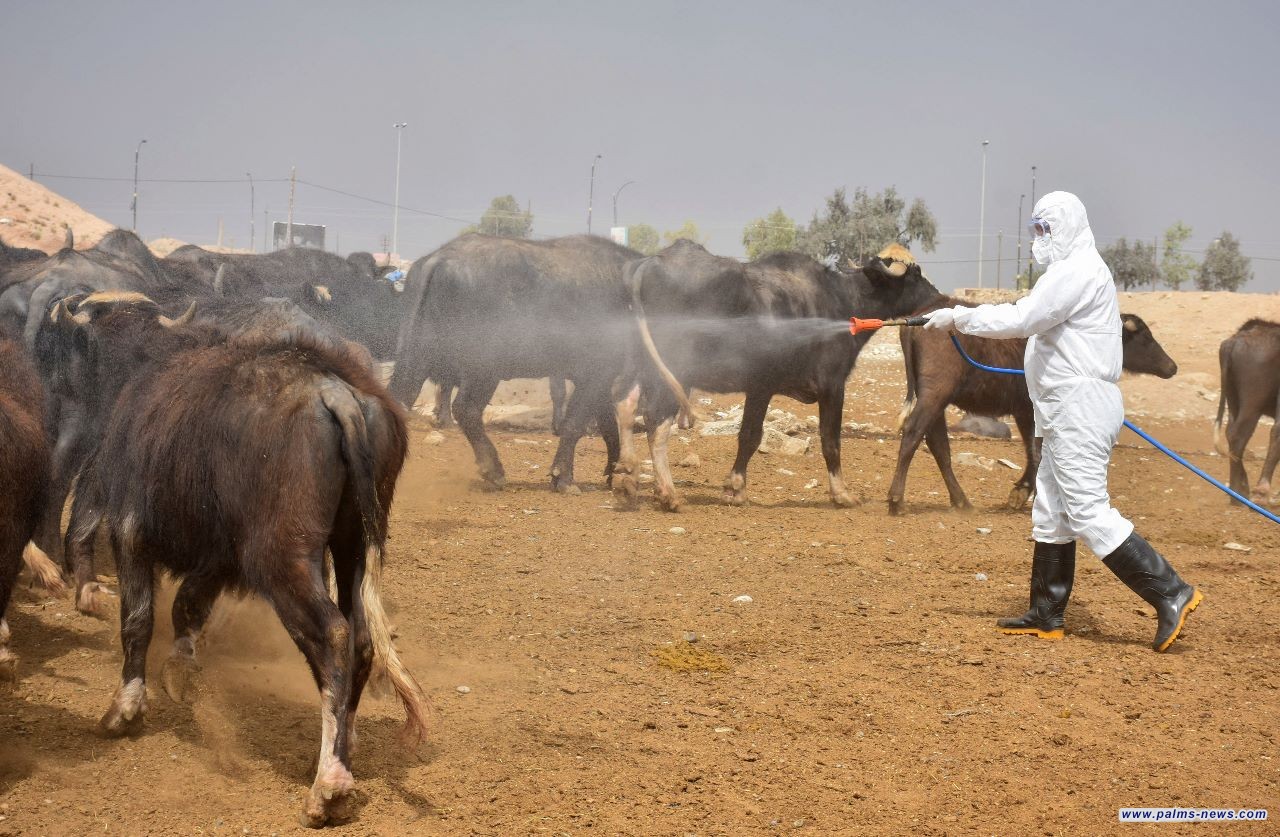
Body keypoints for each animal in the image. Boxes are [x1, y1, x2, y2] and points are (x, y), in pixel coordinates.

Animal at [51, 293, 430, 824]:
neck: (138, 371)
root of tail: (335, 392)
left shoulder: (130, 532)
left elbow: (139, 620)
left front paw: (125, 708)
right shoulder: (219, 556)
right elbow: (187, 607)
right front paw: (180, 671)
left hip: (283, 559)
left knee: (333, 636)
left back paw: (328, 784)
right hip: (353, 546)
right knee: (360, 639)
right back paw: (345, 744)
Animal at [384, 232, 634, 494]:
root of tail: (440, 258)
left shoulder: (600, 380)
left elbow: (608, 425)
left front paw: (612, 472)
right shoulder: (596, 373)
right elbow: (575, 424)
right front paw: (564, 478)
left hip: (416, 355)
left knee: (399, 399)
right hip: (483, 368)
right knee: (466, 409)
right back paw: (493, 469)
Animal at [616, 239, 942, 509]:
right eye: (915, 275)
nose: (938, 295)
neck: (841, 302)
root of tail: (652, 262)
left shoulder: (760, 388)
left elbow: (748, 437)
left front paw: (734, 488)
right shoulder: (826, 386)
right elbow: (822, 440)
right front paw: (841, 494)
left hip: (640, 366)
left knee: (625, 405)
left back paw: (629, 474)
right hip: (673, 374)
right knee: (656, 424)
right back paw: (667, 494)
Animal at [890, 307, 1177, 517]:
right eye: (1145, 337)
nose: (1172, 367)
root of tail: (917, 324)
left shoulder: (1024, 412)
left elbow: (1033, 451)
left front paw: (1021, 492)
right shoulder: (1035, 409)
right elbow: (1039, 451)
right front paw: (1032, 495)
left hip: (936, 401)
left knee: (938, 446)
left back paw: (962, 502)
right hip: (934, 394)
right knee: (914, 433)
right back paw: (897, 500)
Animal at [1208, 319, 1280, 504]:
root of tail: (1234, 341)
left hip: (1234, 399)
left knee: (1231, 434)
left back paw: (1238, 493)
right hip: (1252, 403)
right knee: (1240, 435)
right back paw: (1254, 492)